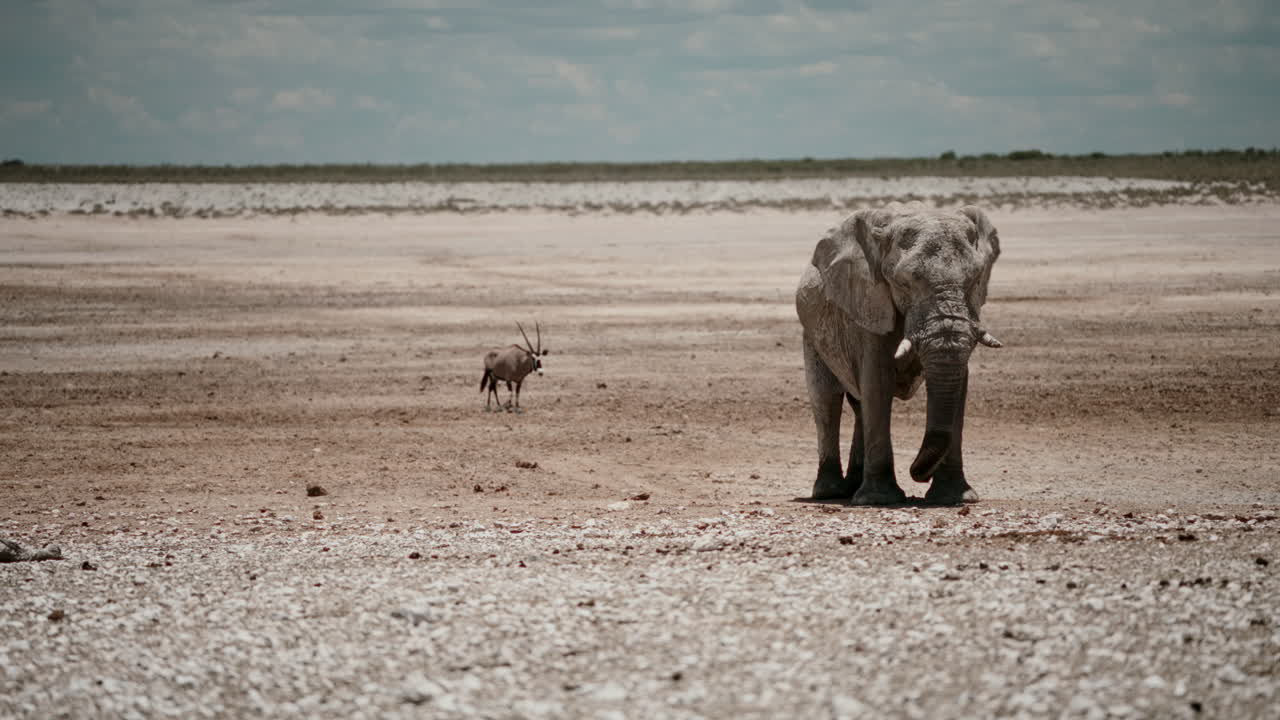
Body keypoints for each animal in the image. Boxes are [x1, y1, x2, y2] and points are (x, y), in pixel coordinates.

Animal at [794, 202, 1003, 505]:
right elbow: (878, 382)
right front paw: (880, 499)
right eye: (904, 283)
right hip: (811, 335)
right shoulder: (870, 302)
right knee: (826, 400)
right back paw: (830, 492)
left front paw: (957, 497)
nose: (918, 474)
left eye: (975, 280)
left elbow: (960, 385)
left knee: (859, 406)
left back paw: (853, 487)